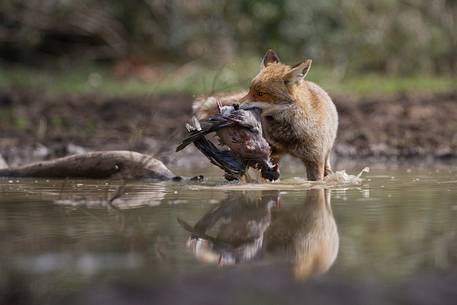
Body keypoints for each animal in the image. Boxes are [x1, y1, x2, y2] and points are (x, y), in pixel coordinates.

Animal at [194, 48, 336, 179]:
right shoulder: (269, 151)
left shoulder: (315, 160)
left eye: (260, 93)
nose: (235, 105)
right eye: (250, 90)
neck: (288, 135)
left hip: (325, 155)